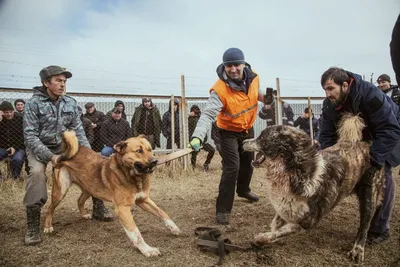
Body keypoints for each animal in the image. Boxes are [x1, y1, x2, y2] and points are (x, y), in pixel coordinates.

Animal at [43, 132, 180, 258]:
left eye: (150, 149)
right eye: (139, 151)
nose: (155, 161)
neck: (132, 176)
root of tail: (65, 153)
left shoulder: (143, 200)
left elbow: (162, 212)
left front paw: (173, 227)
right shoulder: (122, 209)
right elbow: (136, 233)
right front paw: (147, 249)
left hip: (89, 188)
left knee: (79, 200)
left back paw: (84, 215)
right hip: (60, 191)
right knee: (50, 209)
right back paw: (48, 227)